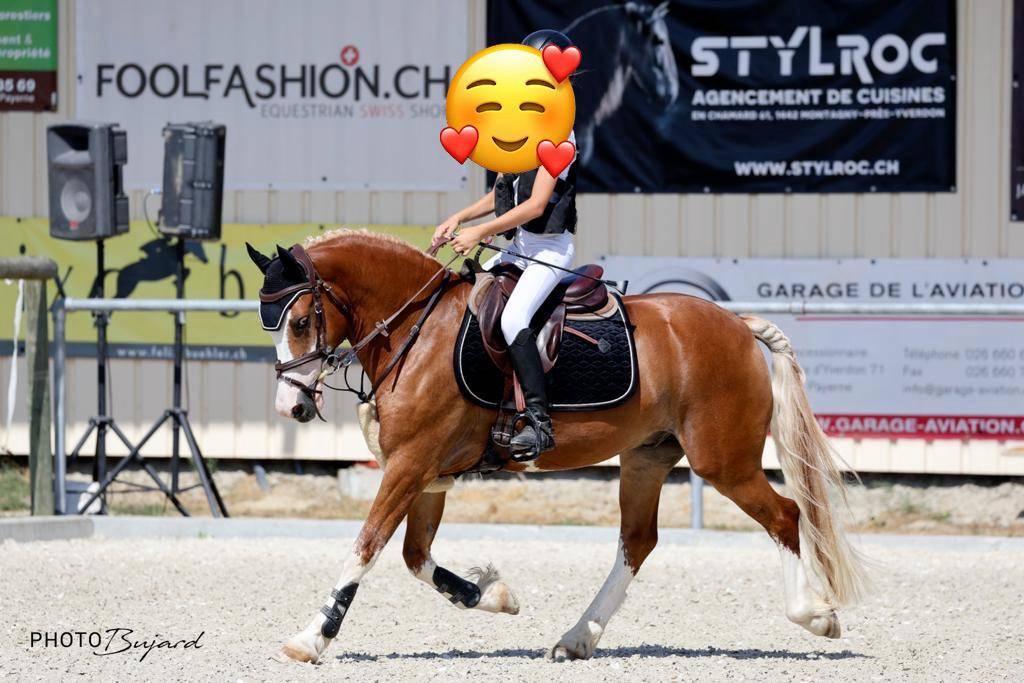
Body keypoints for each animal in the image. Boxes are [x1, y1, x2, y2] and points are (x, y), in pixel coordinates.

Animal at [246, 229, 868, 663]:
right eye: (268, 323)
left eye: (300, 321)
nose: (289, 409)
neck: (415, 332)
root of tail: (737, 326)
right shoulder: (426, 474)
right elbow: (415, 557)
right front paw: (494, 595)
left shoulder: (409, 466)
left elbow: (366, 548)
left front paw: (311, 639)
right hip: (647, 457)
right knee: (637, 542)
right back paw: (576, 639)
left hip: (724, 463)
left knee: (784, 517)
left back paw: (815, 616)